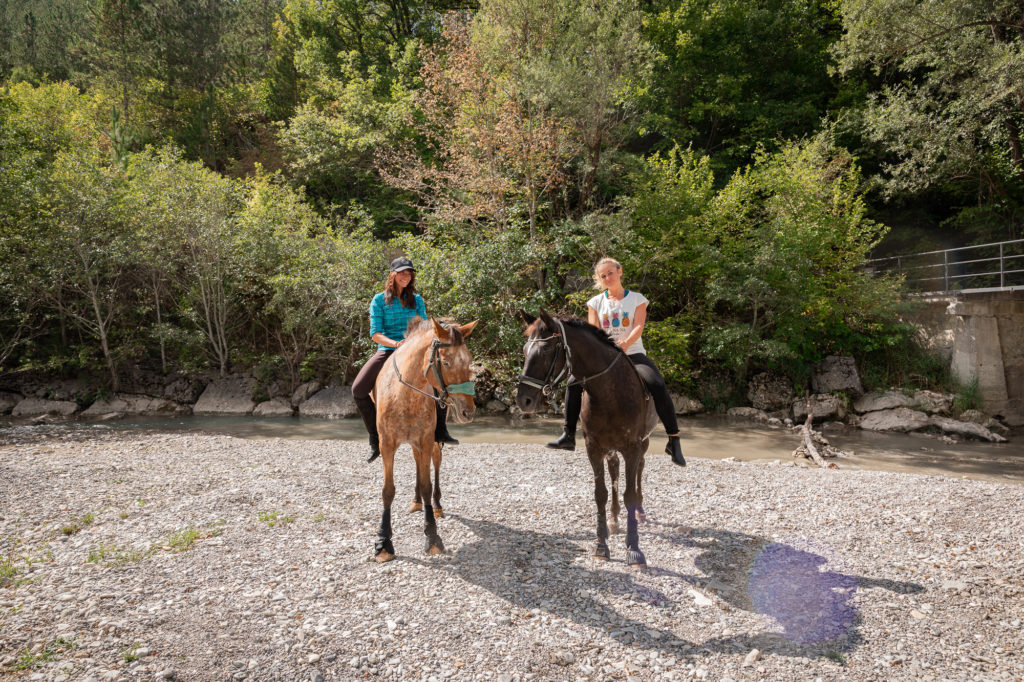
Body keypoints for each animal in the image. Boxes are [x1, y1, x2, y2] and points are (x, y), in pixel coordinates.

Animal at [372, 315, 475, 561]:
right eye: (446, 363)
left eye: (468, 361)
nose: (468, 411)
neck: (405, 394)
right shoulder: (387, 445)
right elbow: (388, 490)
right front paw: (383, 543)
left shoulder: (426, 441)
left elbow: (428, 484)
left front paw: (432, 536)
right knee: (417, 463)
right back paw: (416, 502)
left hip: (432, 443)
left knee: (434, 465)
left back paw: (435, 506)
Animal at [520, 311, 655, 565]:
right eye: (524, 350)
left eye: (546, 351)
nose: (523, 400)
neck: (610, 392)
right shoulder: (594, 448)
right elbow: (600, 494)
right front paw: (602, 545)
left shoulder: (632, 447)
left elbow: (630, 494)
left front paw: (634, 548)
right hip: (611, 449)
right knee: (614, 471)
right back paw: (614, 519)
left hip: (644, 443)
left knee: (640, 471)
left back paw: (640, 513)